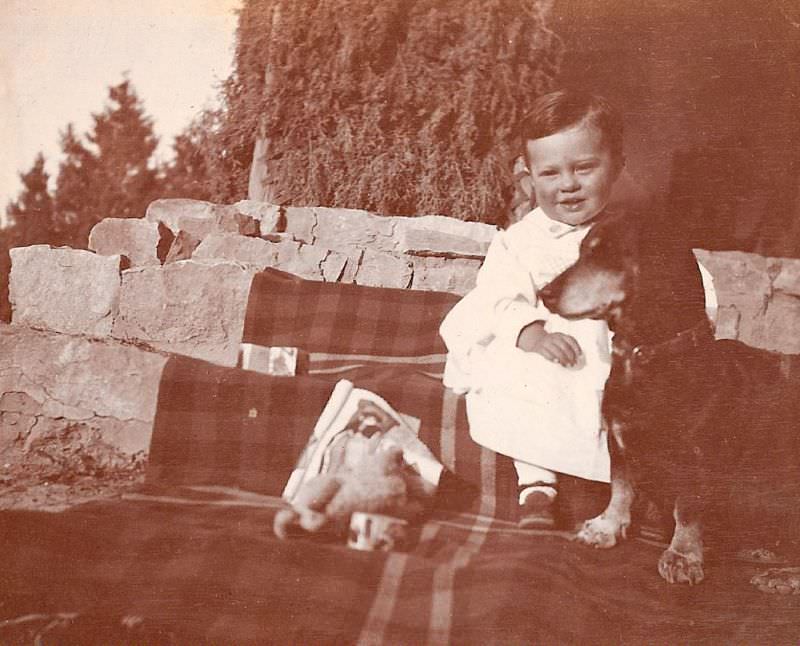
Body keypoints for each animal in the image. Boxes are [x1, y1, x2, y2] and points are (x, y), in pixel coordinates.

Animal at [536, 210, 800, 588]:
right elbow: (620, 487)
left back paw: (779, 575)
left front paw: (682, 556)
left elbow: (687, 509)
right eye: (583, 250)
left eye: (606, 254)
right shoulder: (619, 439)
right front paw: (605, 527)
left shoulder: (697, 460)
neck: (650, 357)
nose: (545, 294)